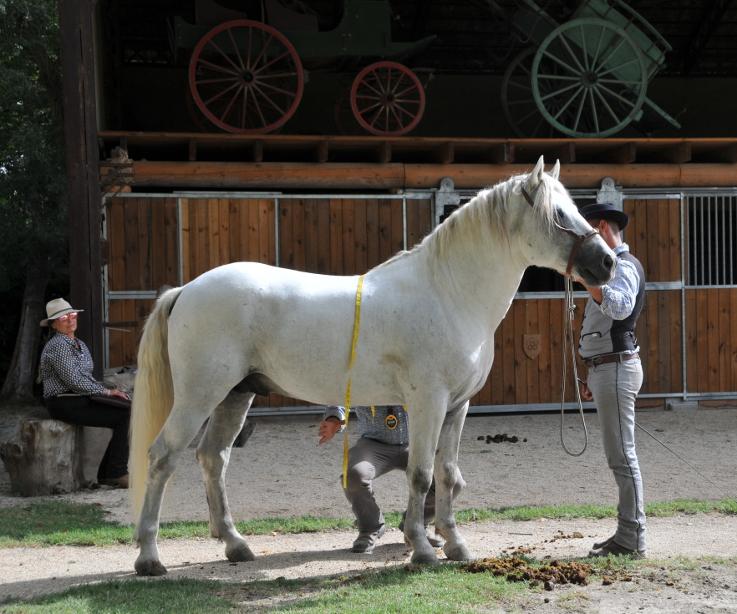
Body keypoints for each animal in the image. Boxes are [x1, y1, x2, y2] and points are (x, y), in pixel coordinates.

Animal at [128, 158, 616, 576]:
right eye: (559, 215)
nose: (607, 262)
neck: (449, 293)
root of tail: (186, 289)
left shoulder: (457, 407)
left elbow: (448, 476)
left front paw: (456, 545)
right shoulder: (428, 402)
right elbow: (421, 475)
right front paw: (422, 551)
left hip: (236, 394)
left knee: (213, 458)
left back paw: (236, 545)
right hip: (199, 395)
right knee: (163, 457)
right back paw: (150, 557)